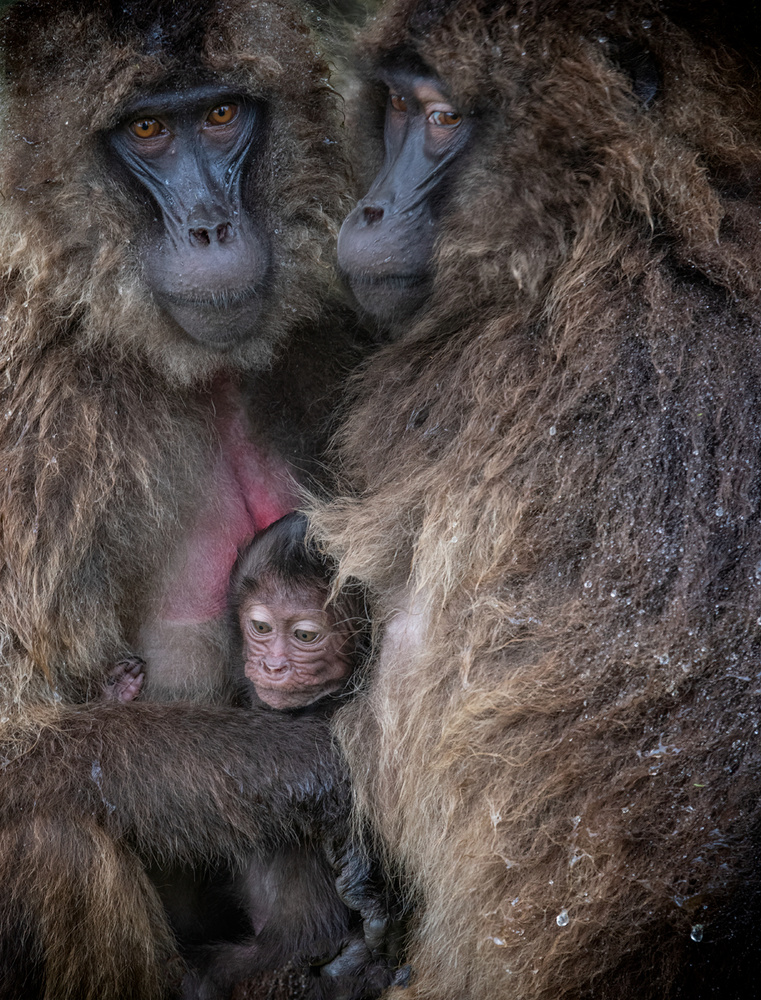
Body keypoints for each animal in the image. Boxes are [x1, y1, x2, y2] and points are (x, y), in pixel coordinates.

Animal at [0, 1, 392, 997]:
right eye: (146, 131)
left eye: (220, 116)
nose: (211, 226)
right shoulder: (31, 406)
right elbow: (18, 738)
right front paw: (337, 769)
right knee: (52, 829)